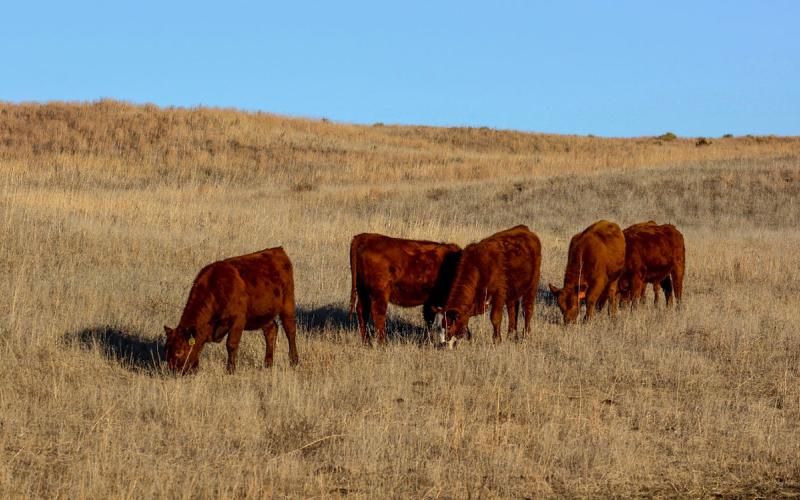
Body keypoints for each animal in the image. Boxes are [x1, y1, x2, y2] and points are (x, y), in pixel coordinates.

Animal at [163, 247, 299, 374]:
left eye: (179, 351)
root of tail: (278, 250)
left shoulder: (238, 321)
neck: (215, 289)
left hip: (288, 304)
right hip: (263, 314)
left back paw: (294, 361)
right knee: (271, 330)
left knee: (290, 331)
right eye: (167, 350)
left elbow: (231, 345)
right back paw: (267, 364)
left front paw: (230, 370)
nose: (172, 371)